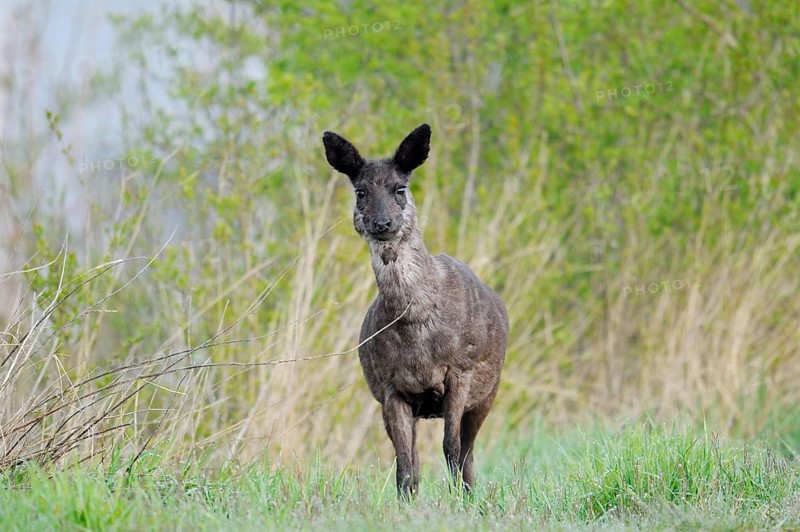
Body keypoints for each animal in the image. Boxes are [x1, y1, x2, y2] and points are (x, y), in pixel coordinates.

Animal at [322, 123, 508, 499]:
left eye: (400, 188)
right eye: (360, 191)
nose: (382, 223)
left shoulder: (460, 370)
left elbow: (451, 449)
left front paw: (459, 502)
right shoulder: (389, 387)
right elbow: (405, 466)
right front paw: (407, 504)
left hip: (489, 391)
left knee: (468, 453)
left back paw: (471, 495)